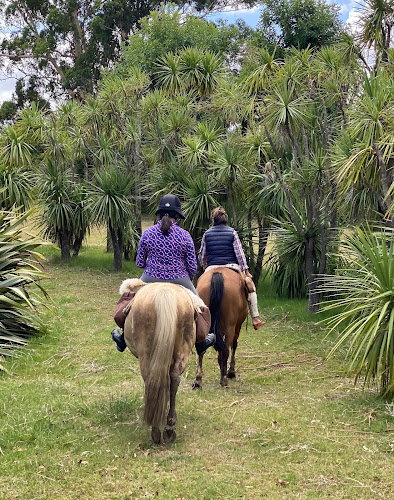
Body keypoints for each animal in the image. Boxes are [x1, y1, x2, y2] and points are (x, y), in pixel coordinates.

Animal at [123, 282, 195, 446]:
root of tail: (165, 291)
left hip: (147, 354)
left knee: (151, 379)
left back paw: (156, 430)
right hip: (182, 350)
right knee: (173, 379)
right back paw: (169, 427)